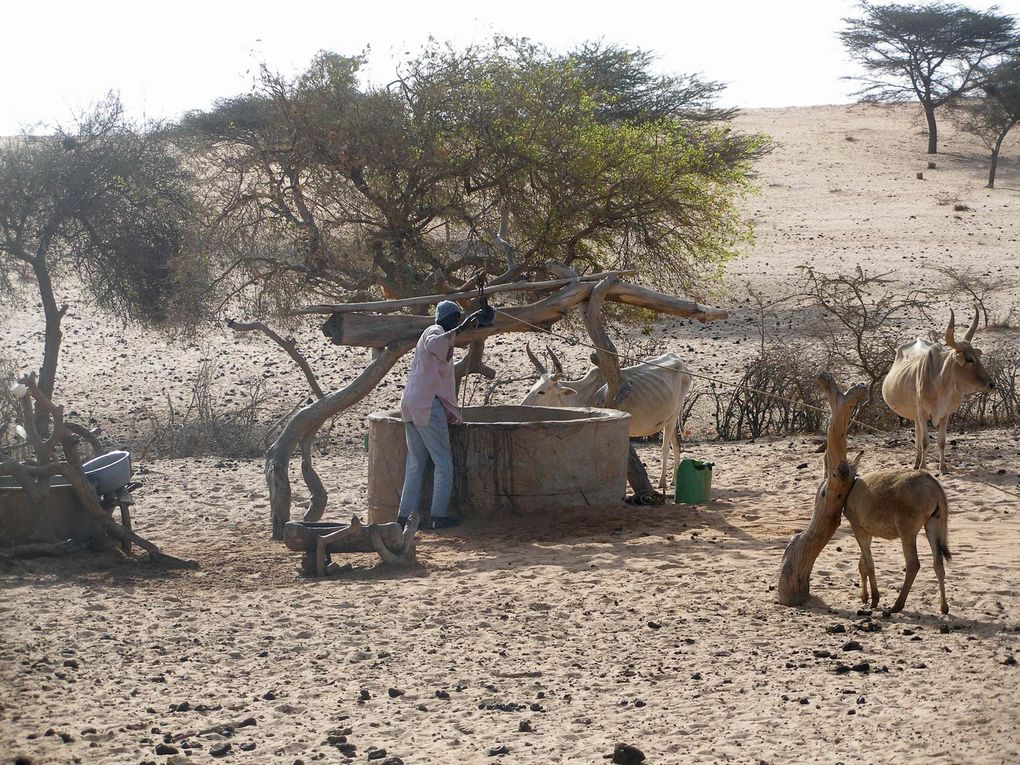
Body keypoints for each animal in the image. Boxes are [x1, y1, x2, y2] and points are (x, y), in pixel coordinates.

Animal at [526, 344, 693, 487]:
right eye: (532, 387)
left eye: (541, 391)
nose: (524, 405)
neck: (585, 393)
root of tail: (679, 361)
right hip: (669, 419)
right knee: (676, 444)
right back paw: (674, 481)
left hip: (672, 418)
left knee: (665, 447)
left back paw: (663, 482)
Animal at [881, 308, 991, 473]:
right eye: (969, 359)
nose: (991, 384)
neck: (940, 385)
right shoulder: (922, 413)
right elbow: (925, 442)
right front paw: (923, 467)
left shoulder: (946, 414)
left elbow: (942, 442)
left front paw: (943, 467)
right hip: (917, 414)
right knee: (919, 435)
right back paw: (918, 463)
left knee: (918, 432)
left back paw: (917, 462)